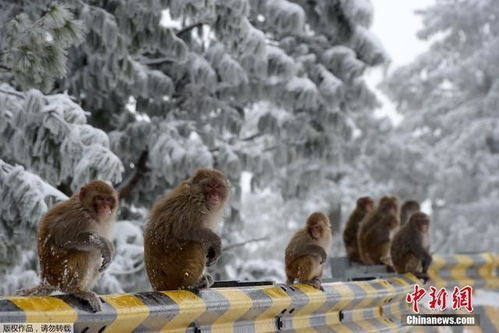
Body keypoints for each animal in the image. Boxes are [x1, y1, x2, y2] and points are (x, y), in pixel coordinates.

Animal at [16, 179, 118, 312]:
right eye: (99, 199)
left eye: (108, 199)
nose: (105, 207)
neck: (89, 211)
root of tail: (47, 280)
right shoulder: (77, 218)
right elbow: (63, 238)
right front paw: (104, 244)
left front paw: (109, 247)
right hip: (60, 273)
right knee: (85, 253)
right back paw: (77, 290)